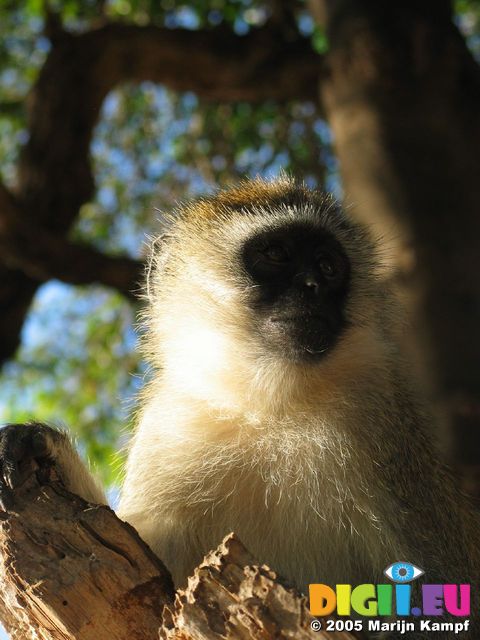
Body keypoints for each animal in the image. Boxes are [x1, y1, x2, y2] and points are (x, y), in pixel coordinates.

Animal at [0, 176, 480, 640]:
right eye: (276, 253)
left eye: (329, 267)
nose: (312, 288)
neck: (269, 407)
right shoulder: (168, 427)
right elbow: (145, 574)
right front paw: (45, 449)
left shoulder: (388, 432)